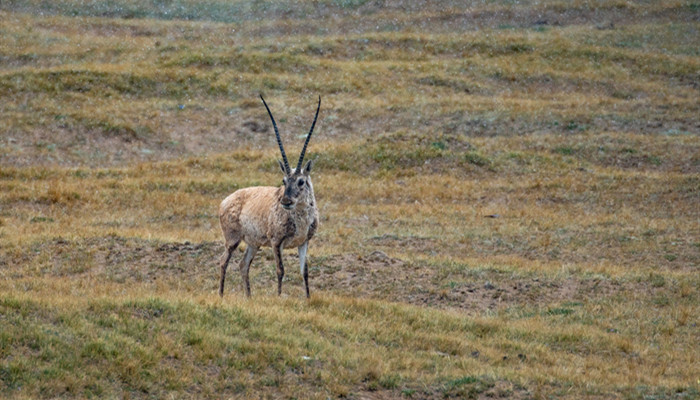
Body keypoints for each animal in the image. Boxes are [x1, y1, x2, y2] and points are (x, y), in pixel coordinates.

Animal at [217, 95, 322, 298]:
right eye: (284, 180)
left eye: (301, 181)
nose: (286, 201)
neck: (300, 218)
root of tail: (225, 201)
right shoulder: (276, 242)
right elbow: (280, 270)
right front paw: (279, 297)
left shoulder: (304, 242)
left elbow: (304, 271)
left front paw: (307, 298)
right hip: (232, 240)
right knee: (223, 262)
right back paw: (221, 295)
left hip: (253, 244)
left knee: (243, 265)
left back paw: (249, 298)